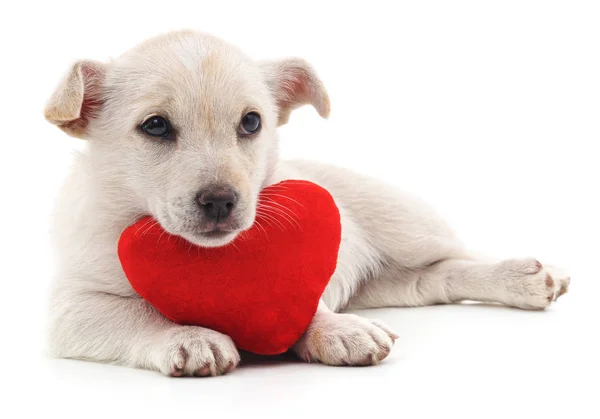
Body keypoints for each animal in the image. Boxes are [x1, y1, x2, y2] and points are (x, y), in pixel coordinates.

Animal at [44, 30, 568, 378]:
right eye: (154, 126)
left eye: (252, 122)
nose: (221, 201)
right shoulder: (72, 308)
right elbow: (136, 314)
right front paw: (189, 336)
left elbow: (306, 303)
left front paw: (336, 330)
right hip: (394, 282)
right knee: (435, 280)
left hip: (408, 224)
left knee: (461, 255)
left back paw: (531, 275)